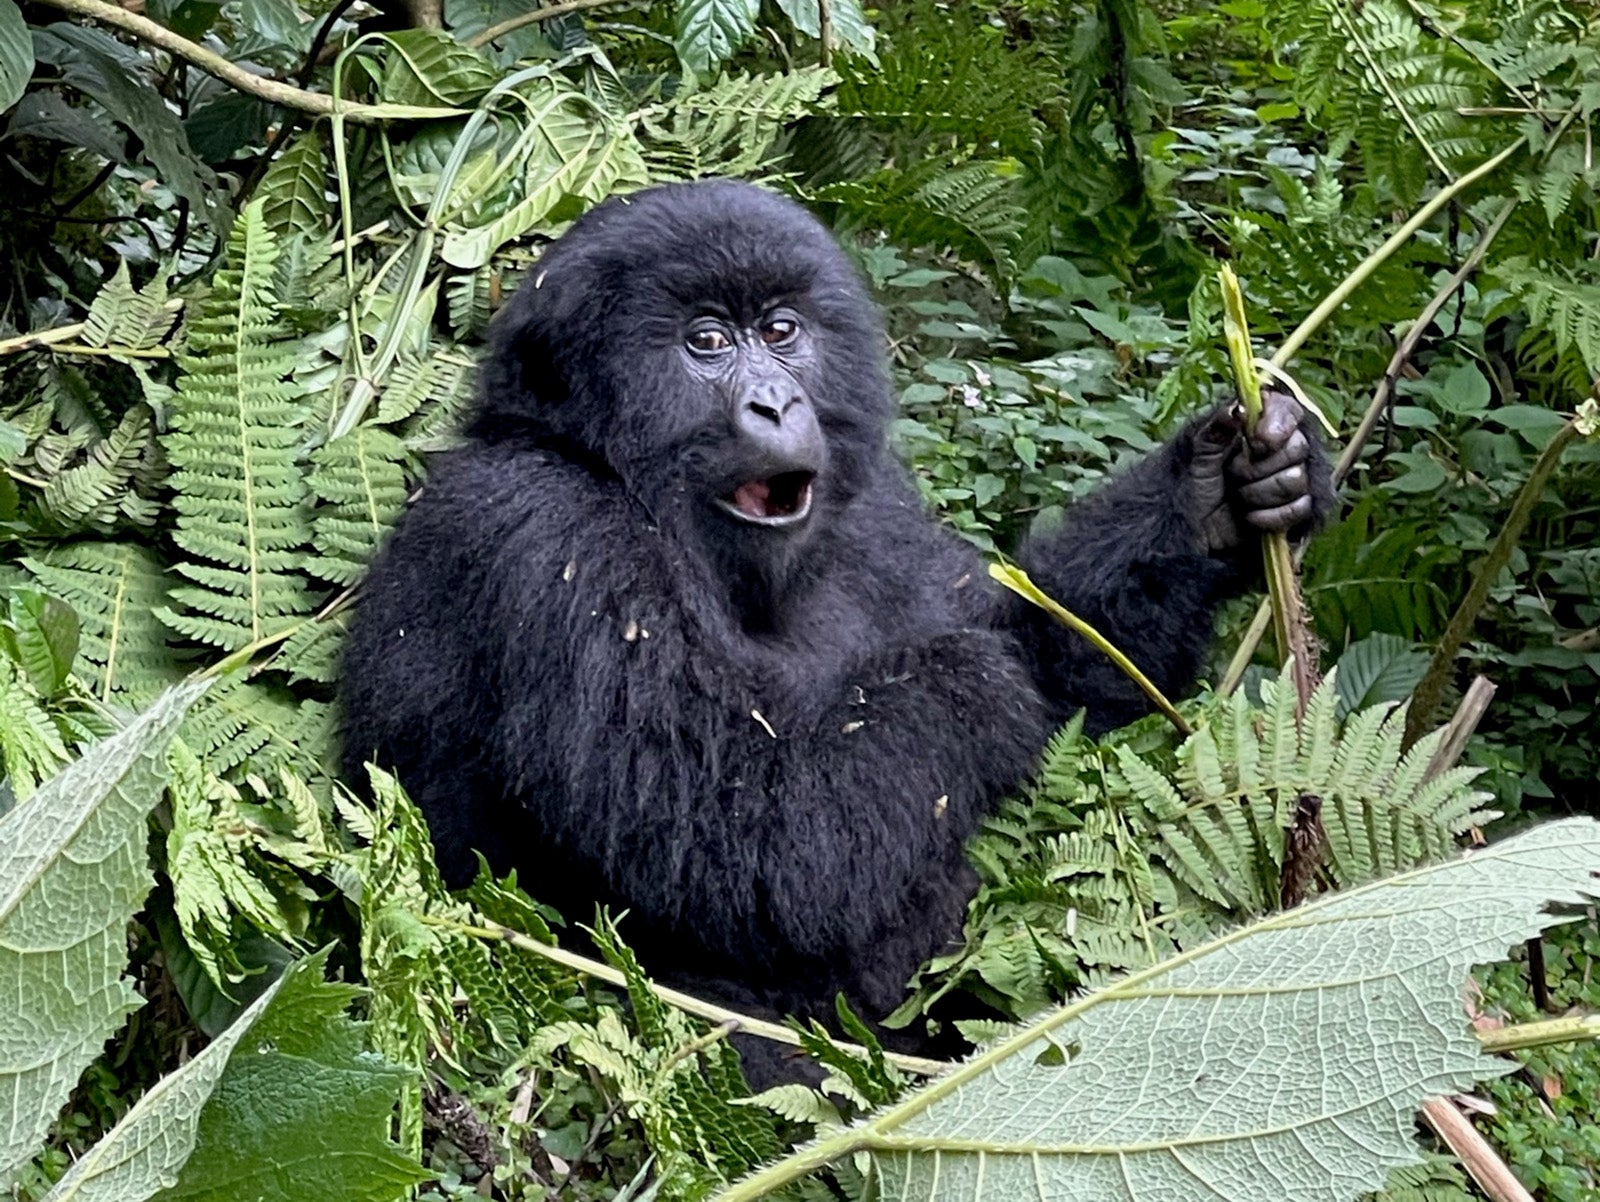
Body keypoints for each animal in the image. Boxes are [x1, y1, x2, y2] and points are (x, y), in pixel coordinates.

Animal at [340, 180, 1337, 1069]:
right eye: (707, 343)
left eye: (783, 332)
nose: (777, 405)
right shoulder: (540, 531)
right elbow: (752, 843)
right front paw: (970, 683)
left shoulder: (877, 501)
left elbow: (1057, 658)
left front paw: (1213, 497)